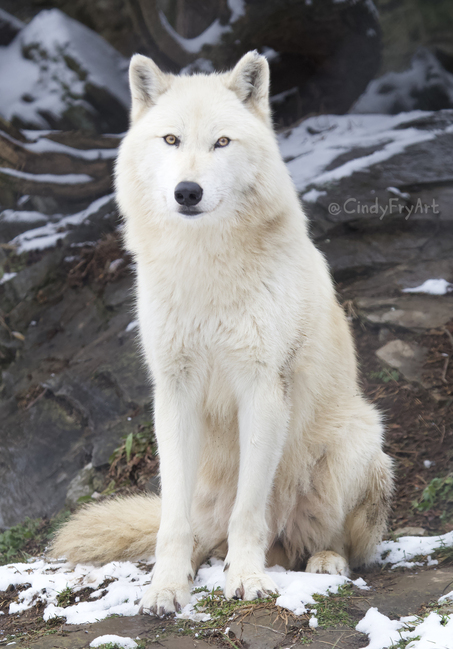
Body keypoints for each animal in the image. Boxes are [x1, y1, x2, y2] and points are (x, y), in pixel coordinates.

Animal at [52, 50, 392, 612]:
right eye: (171, 140)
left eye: (222, 142)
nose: (187, 192)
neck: (205, 268)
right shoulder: (174, 390)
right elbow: (172, 524)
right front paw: (167, 587)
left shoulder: (261, 387)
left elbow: (248, 513)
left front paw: (247, 580)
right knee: (194, 529)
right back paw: (191, 565)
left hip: (357, 440)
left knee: (334, 542)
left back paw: (322, 561)